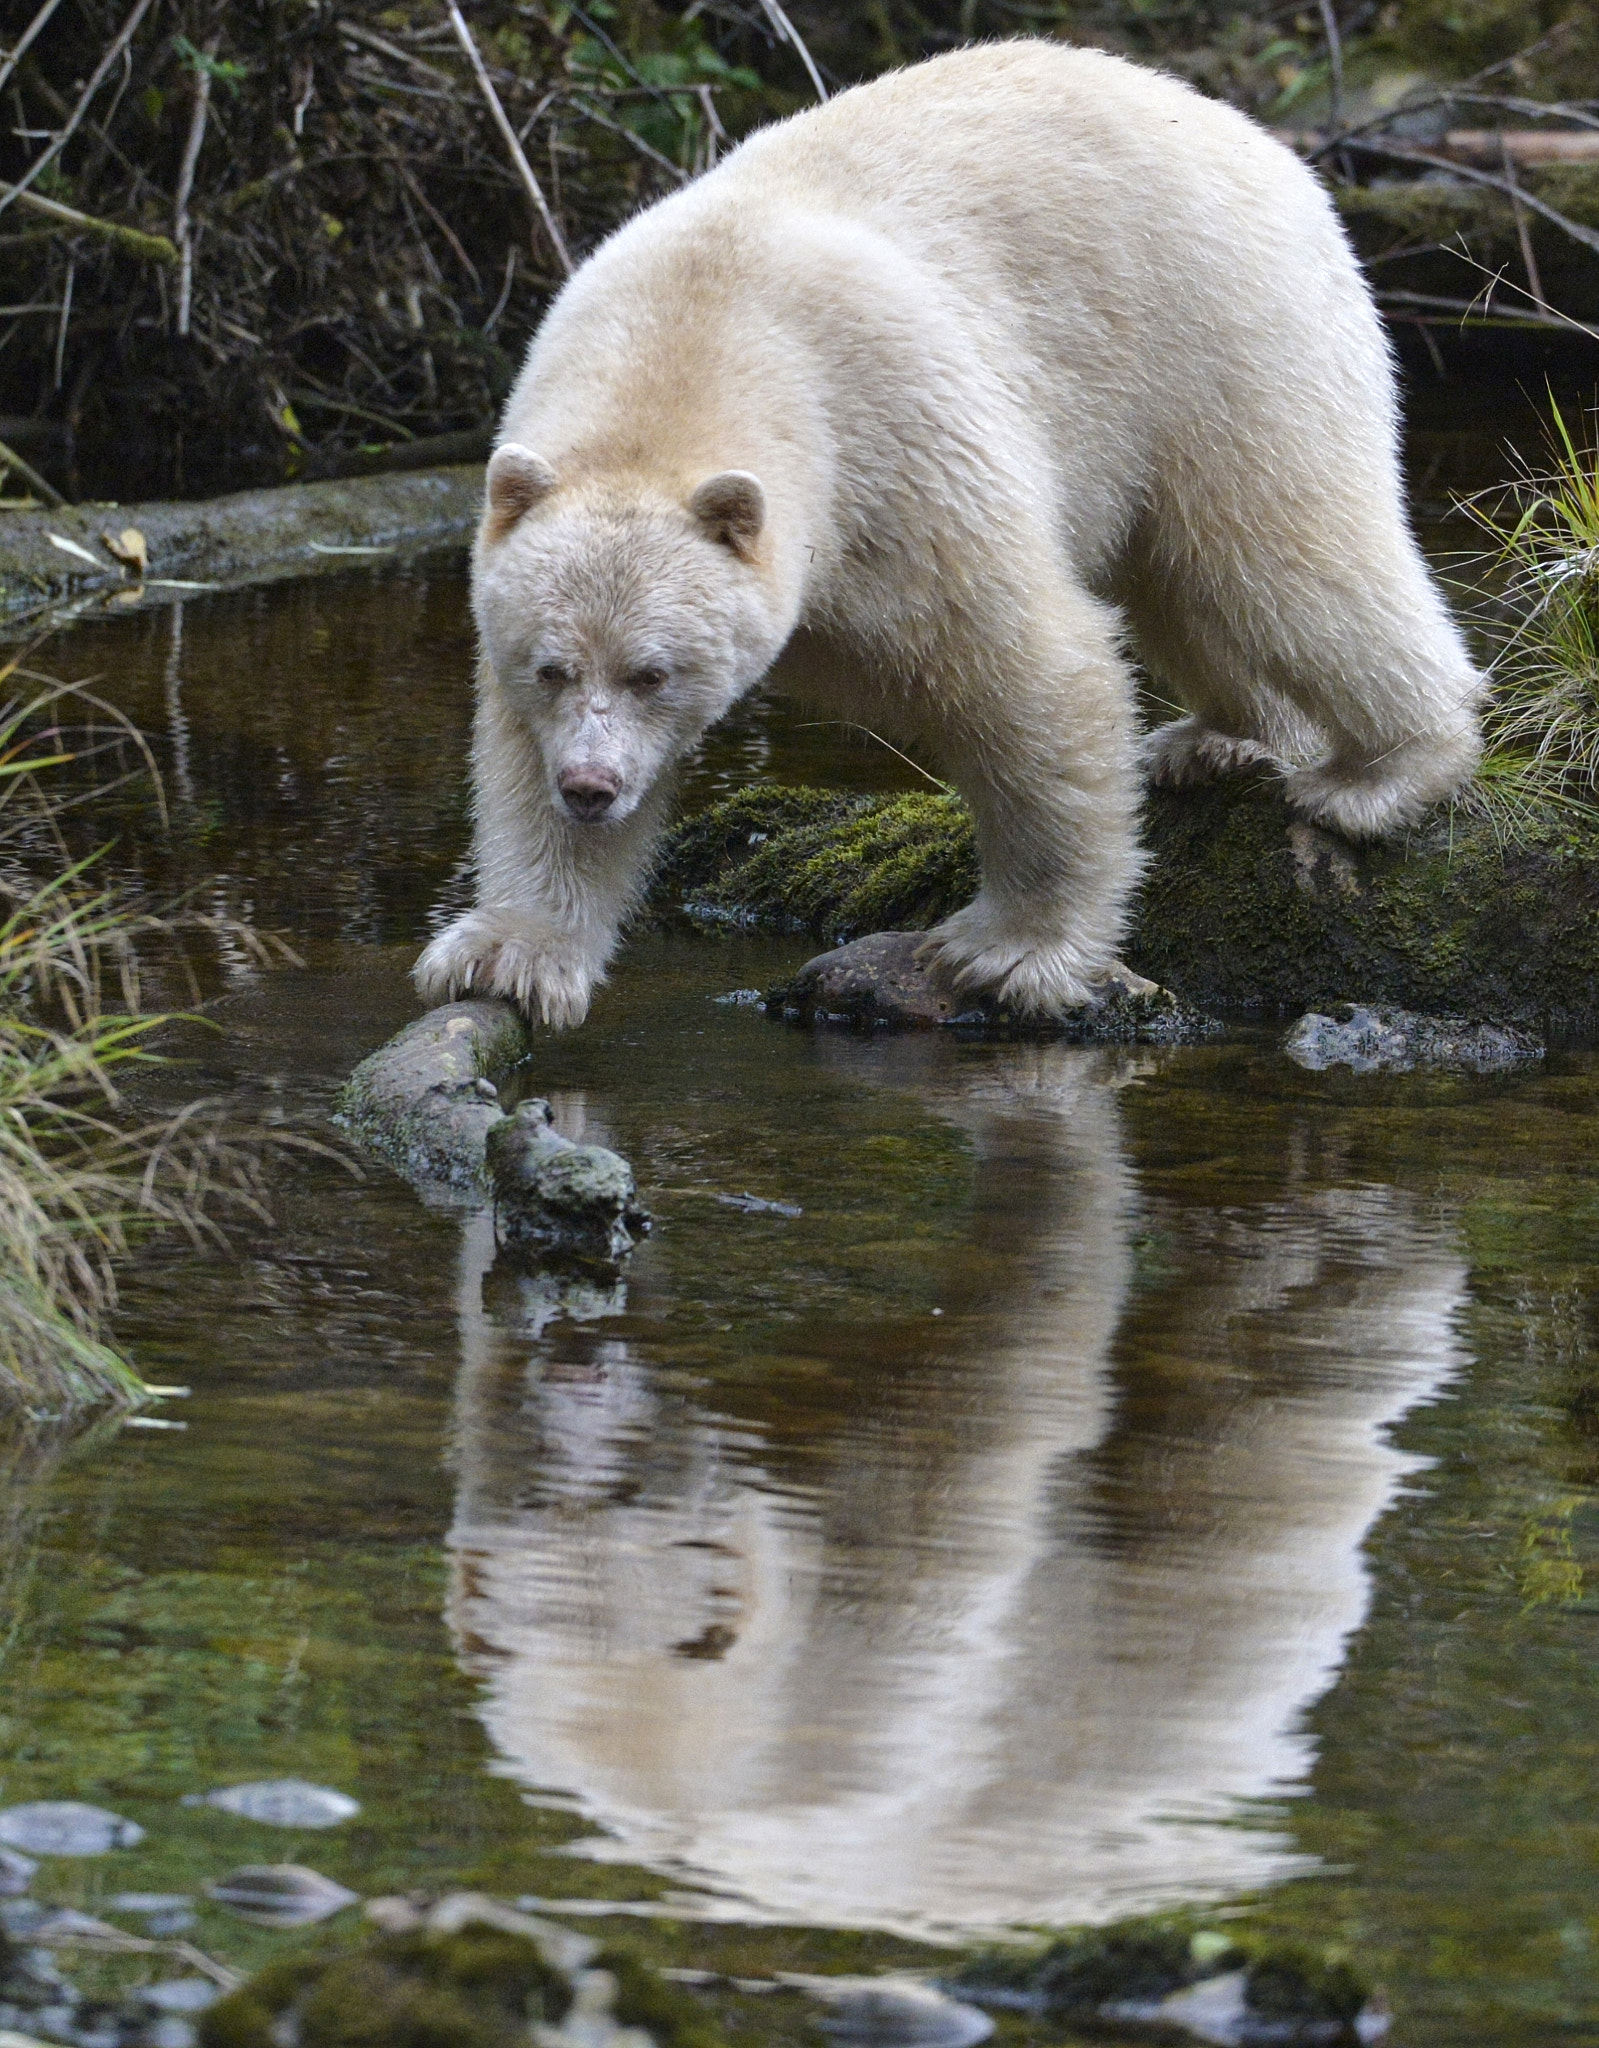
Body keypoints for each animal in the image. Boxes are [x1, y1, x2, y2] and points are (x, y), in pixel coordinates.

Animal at [415, 44, 1482, 1040]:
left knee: (1281, 550)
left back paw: (1380, 773)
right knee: (1182, 582)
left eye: (653, 673)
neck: (698, 330)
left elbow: (1028, 671)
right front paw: (508, 954)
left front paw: (1009, 950)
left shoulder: (891, 447)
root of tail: (1263, 143)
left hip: (1221, 333)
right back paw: (1216, 737)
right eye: (552, 667)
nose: (591, 788)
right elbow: (513, 756)